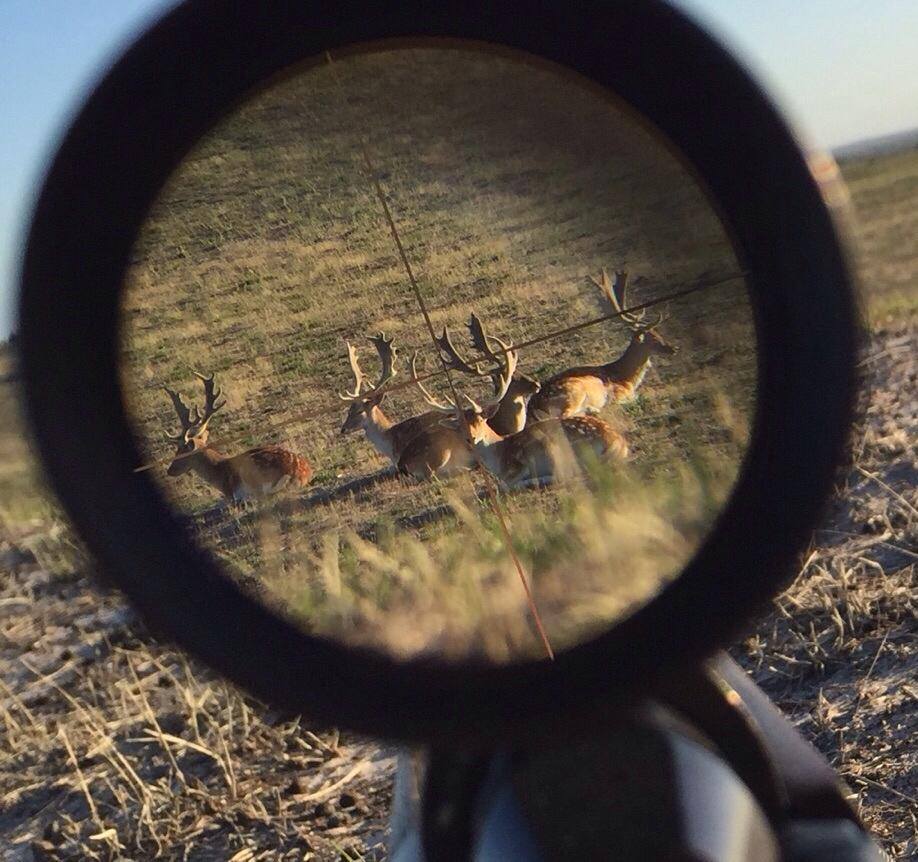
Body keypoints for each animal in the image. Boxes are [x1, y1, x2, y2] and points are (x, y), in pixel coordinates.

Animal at [163, 372, 313, 502]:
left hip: (251, 473)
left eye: (180, 451)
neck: (219, 473)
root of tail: (300, 474)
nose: (170, 470)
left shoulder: (231, 491)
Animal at [528, 269, 676, 422]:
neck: (627, 378)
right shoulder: (619, 393)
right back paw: (593, 410)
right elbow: (634, 398)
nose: (673, 349)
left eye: (658, 333)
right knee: (565, 415)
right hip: (574, 393)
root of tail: (533, 407)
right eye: (652, 337)